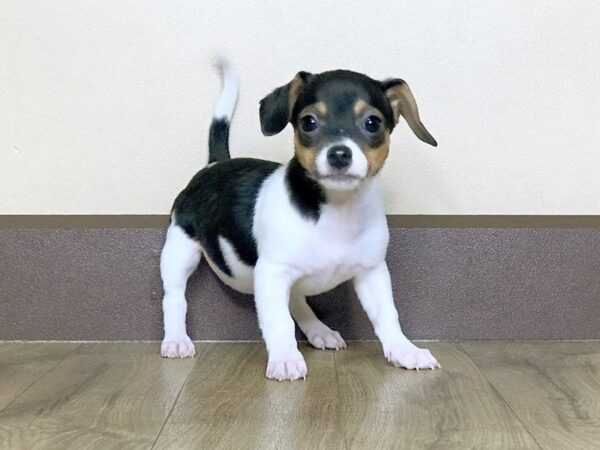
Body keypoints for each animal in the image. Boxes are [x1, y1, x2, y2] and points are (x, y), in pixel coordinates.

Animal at [159, 59, 440, 380]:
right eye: (309, 122)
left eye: (372, 123)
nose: (339, 154)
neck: (336, 210)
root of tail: (215, 164)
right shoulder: (272, 274)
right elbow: (278, 321)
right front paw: (284, 358)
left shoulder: (372, 273)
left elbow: (387, 315)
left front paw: (404, 349)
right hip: (179, 250)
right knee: (174, 297)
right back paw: (176, 339)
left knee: (296, 300)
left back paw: (319, 330)